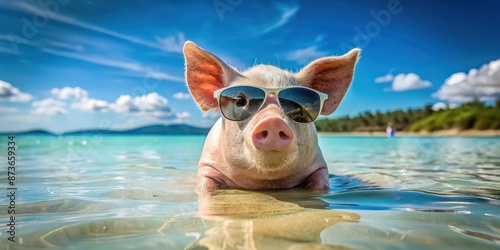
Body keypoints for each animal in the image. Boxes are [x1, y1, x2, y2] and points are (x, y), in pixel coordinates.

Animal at [184, 42, 360, 192]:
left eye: (296, 103)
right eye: (240, 101)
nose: (273, 121)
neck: (266, 182)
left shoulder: (320, 165)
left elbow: (321, 183)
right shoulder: (208, 165)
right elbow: (206, 186)